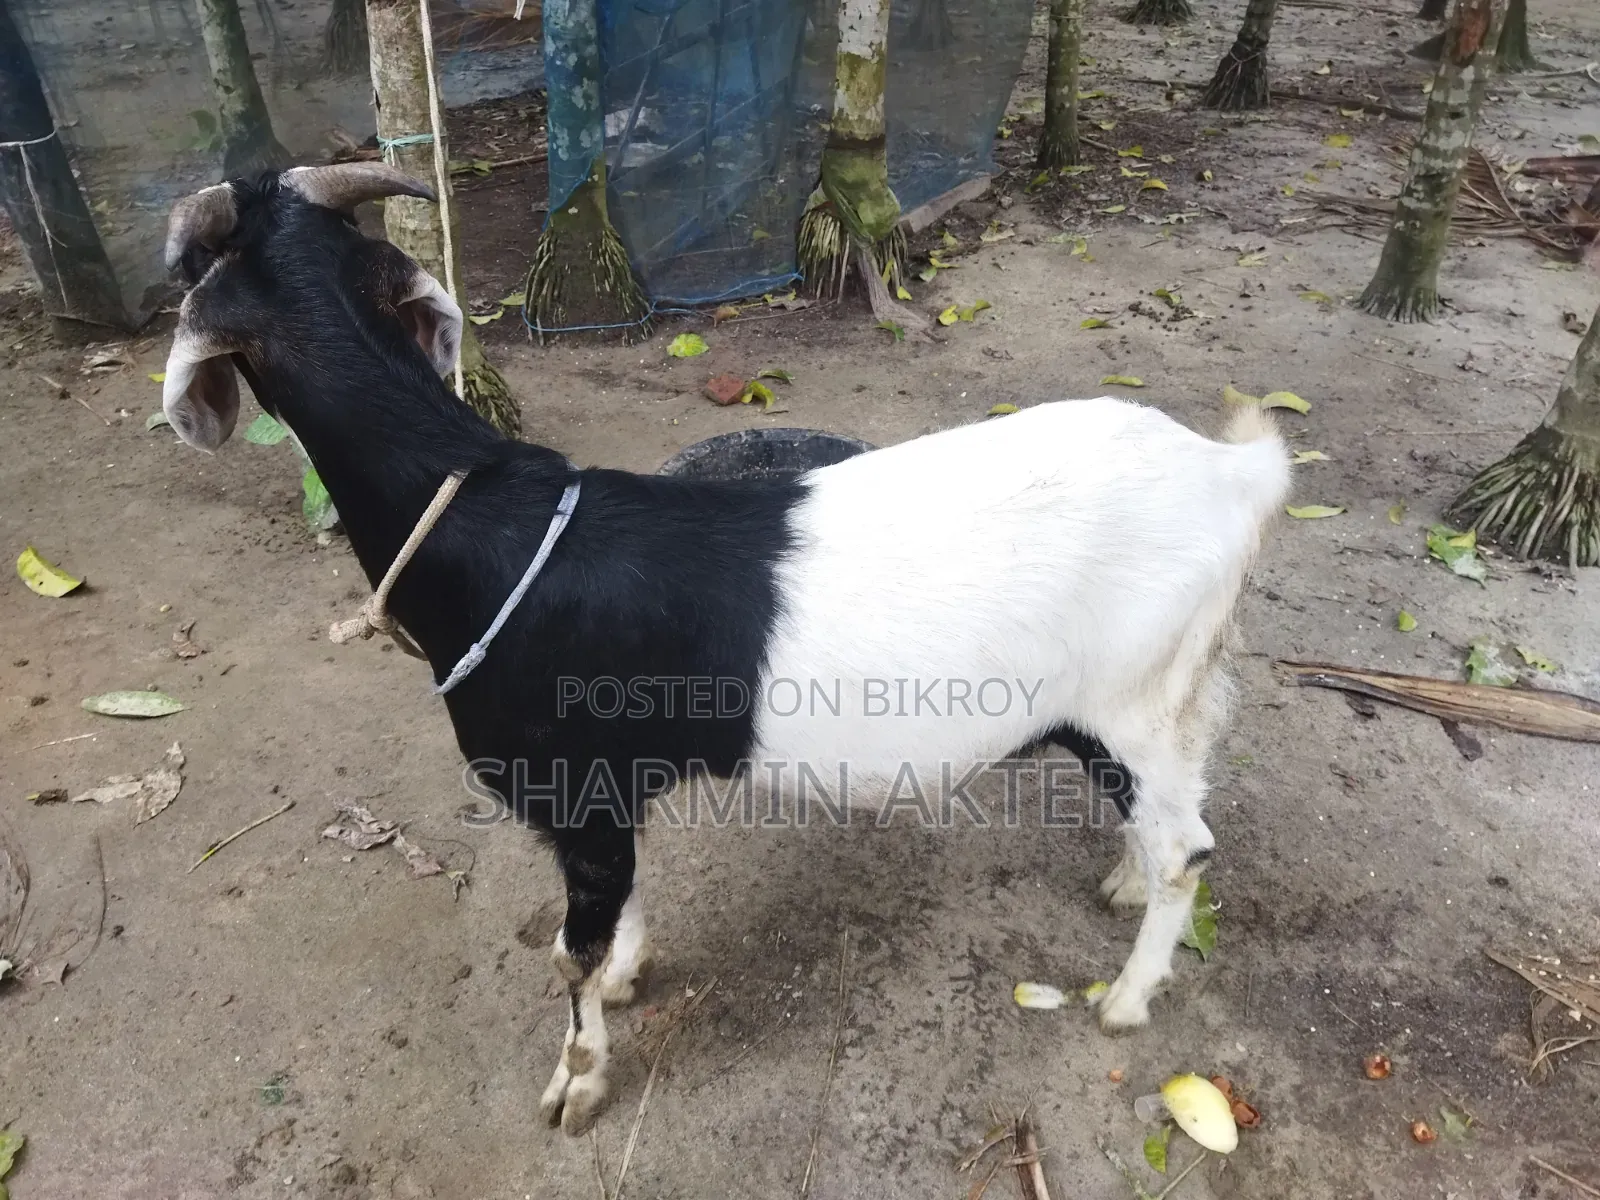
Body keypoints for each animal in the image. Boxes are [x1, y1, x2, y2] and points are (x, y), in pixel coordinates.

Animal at [159, 165, 1291, 1136]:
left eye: (192, 273)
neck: (495, 535)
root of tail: (1233, 476)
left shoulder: (573, 788)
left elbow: (570, 954)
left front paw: (578, 1083)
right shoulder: (613, 789)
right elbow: (612, 916)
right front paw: (627, 975)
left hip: (1135, 696)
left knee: (1188, 846)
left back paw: (1126, 1000)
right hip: (1146, 699)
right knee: (1165, 811)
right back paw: (1125, 887)